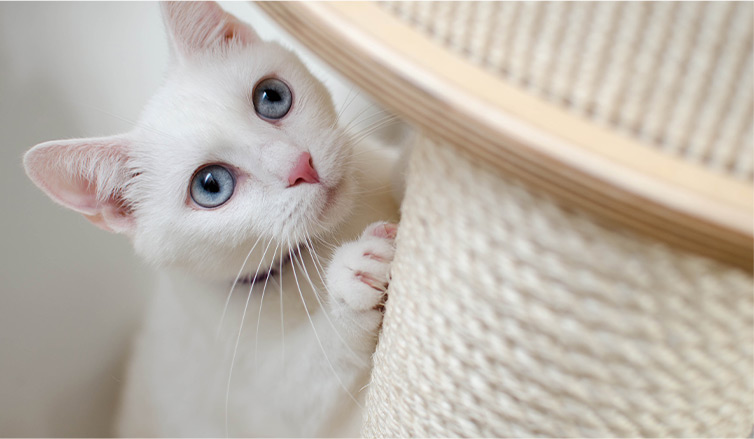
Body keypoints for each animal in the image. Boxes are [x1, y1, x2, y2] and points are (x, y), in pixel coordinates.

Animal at [22, 2, 400, 436]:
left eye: (272, 96)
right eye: (211, 186)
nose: (300, 166)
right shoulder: (261, 392)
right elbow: (310, 378)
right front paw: (353, 277)